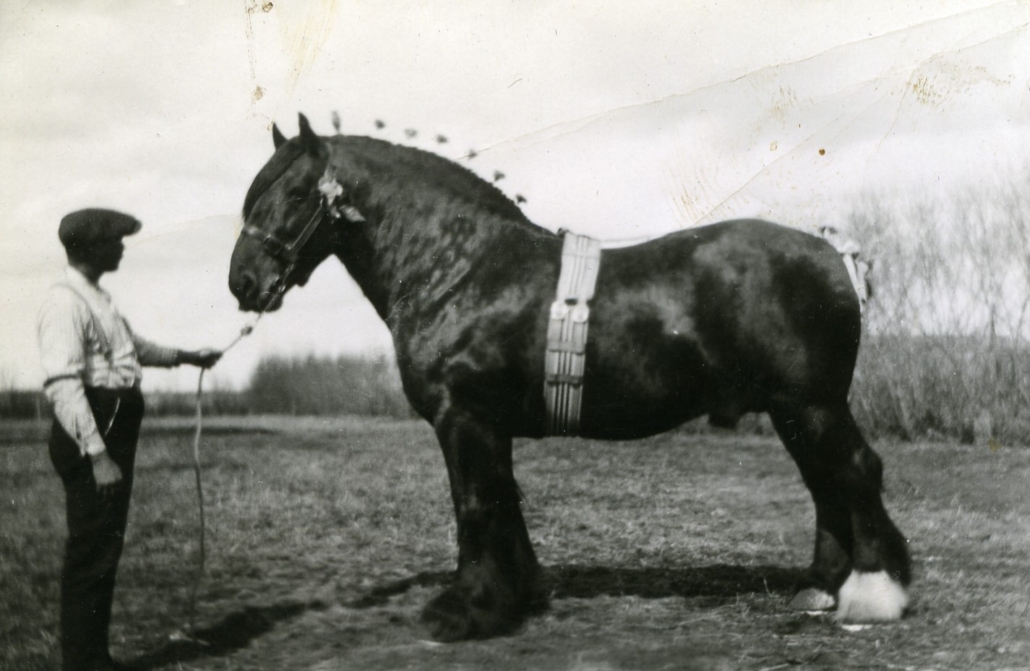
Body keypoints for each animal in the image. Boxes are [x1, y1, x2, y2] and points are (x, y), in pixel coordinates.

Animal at [228, 113, 911, 641]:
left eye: (296, 193)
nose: (243, 282)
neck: (462, 267)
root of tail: (832, 253)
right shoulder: (487, 424)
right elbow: (504, 499)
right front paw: (521, 593)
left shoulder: (463, 416)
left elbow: (474, 502)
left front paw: (465, 610)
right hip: (793, 408)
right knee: (824, 483)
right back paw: (819, 588)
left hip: (812, 403)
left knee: (853, 470)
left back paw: (874, 593)